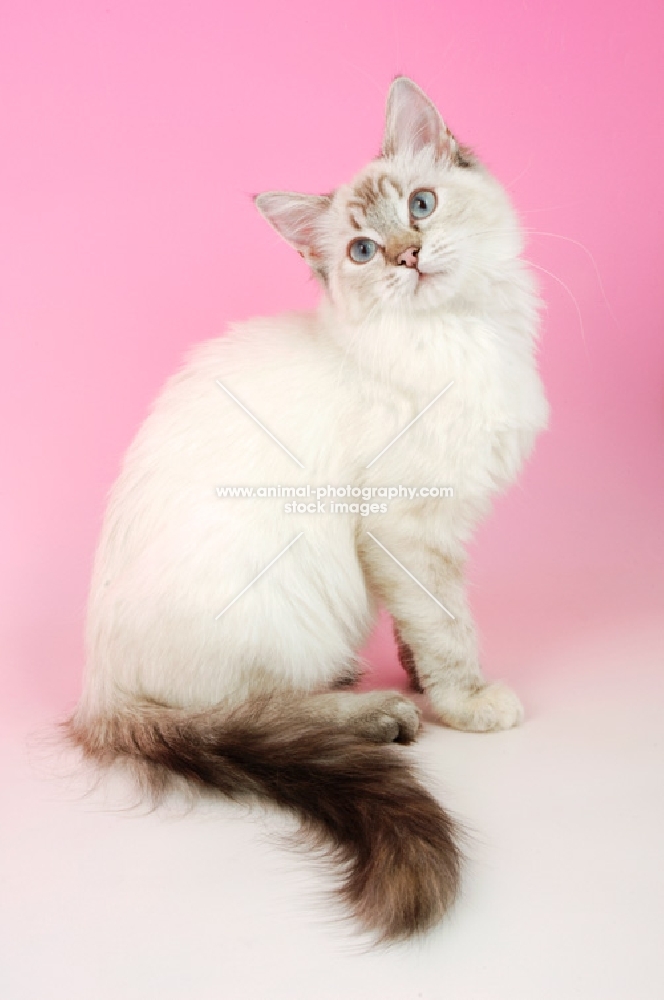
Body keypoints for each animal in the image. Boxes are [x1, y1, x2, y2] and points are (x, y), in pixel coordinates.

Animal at [66, 76, 548, 936]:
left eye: (422, 205)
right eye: (361, 252)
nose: (407, 255)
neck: (462, 333)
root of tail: (97, 689)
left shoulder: (409, 548)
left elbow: (423, 627)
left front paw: (422, 677)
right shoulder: (405, 528)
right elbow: (450, 626)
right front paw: (463, 702)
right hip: (282, 603)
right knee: (259, 715)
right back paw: (379, 715)